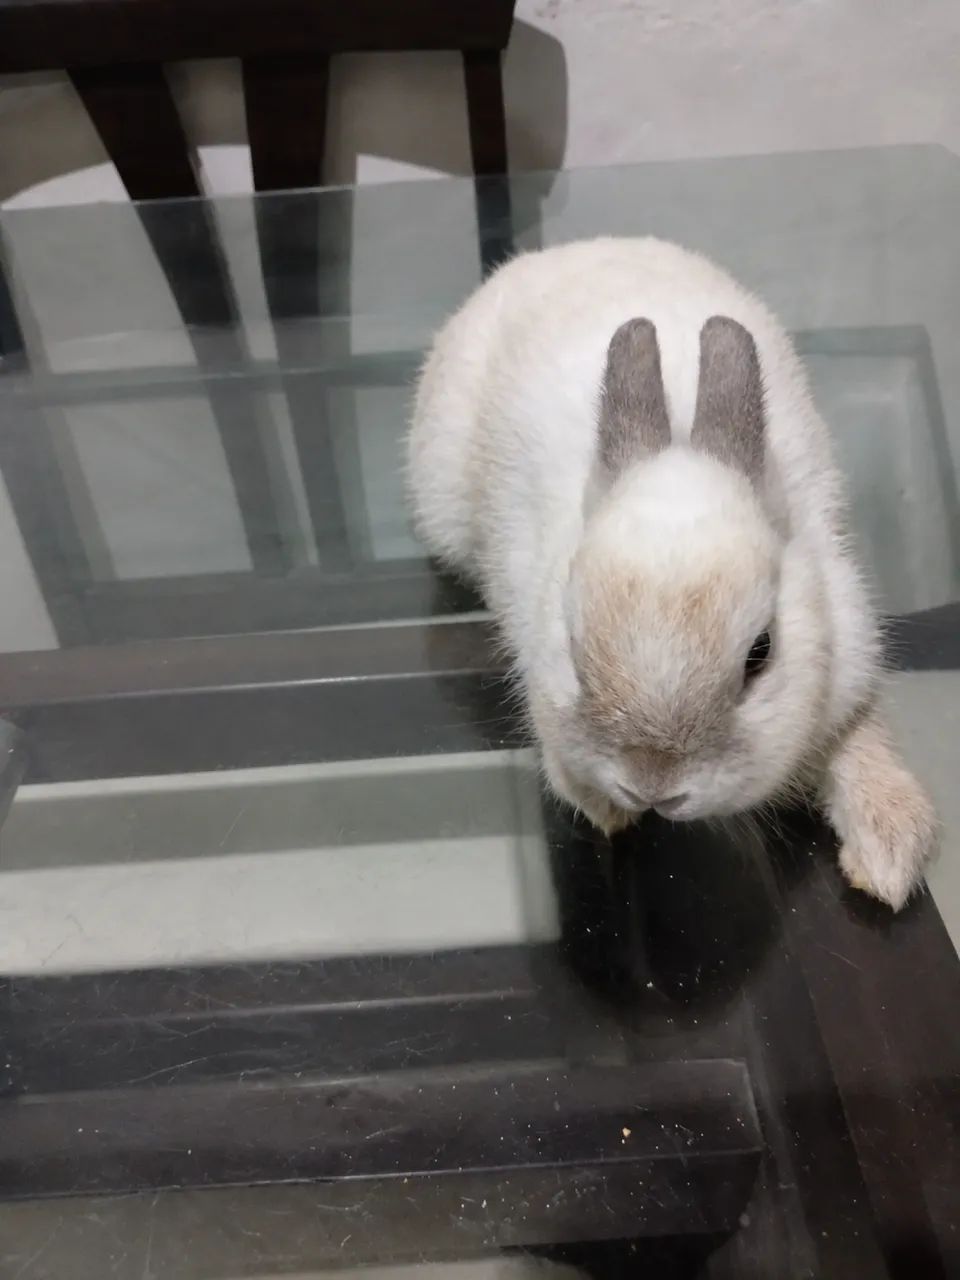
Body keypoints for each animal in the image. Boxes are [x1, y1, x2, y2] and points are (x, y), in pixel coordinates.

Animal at [407, 237, 938, 910]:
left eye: (761, 653)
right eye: (573, 649)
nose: (652, 786)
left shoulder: (849, 649)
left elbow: (861, 737)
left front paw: (888, 852)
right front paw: (601, 806)